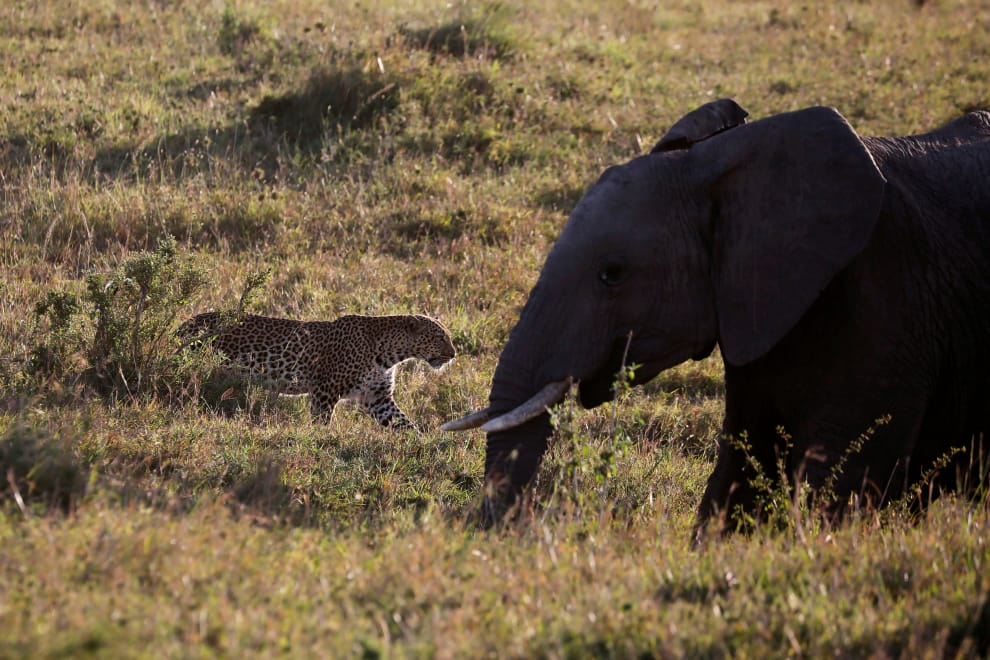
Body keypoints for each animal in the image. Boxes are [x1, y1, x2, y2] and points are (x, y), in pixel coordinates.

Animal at [177, 311, 456, 431]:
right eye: (440, 337)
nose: (454, 354)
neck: (389, 355)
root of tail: (186, 323)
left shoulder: (377, 398)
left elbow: (404, 422)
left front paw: (424, 443)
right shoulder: (325, 391)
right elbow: (322, 421)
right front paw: (323, 441)